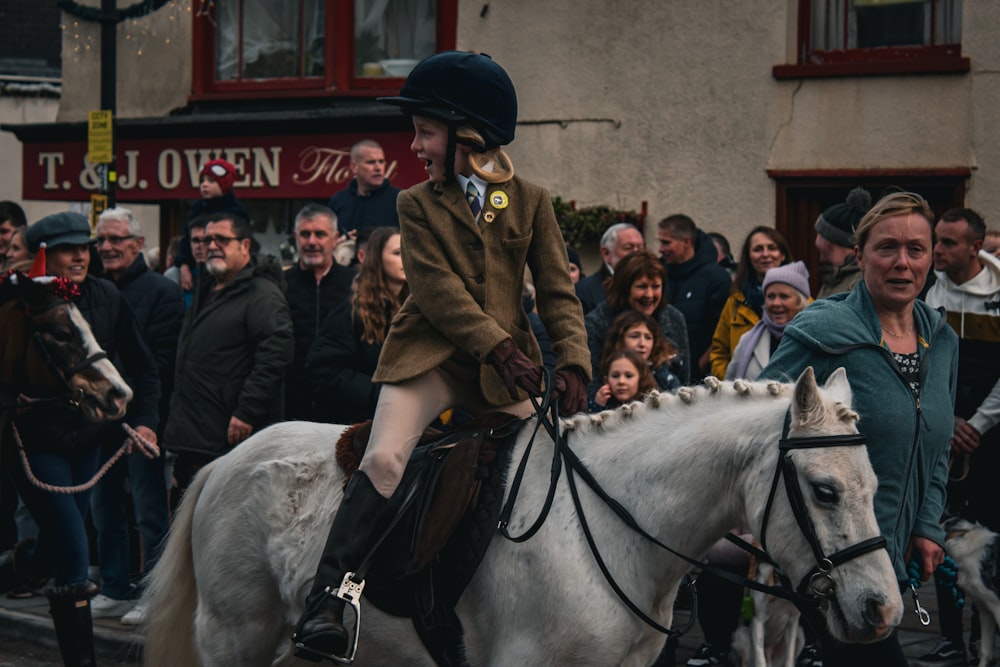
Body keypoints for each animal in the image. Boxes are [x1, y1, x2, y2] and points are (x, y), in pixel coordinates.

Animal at [145, 370, 904, 667]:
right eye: (825, 491)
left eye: (874, 485)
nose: (884, 611)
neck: (617, 526)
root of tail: (224, 461)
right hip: (234, 634)